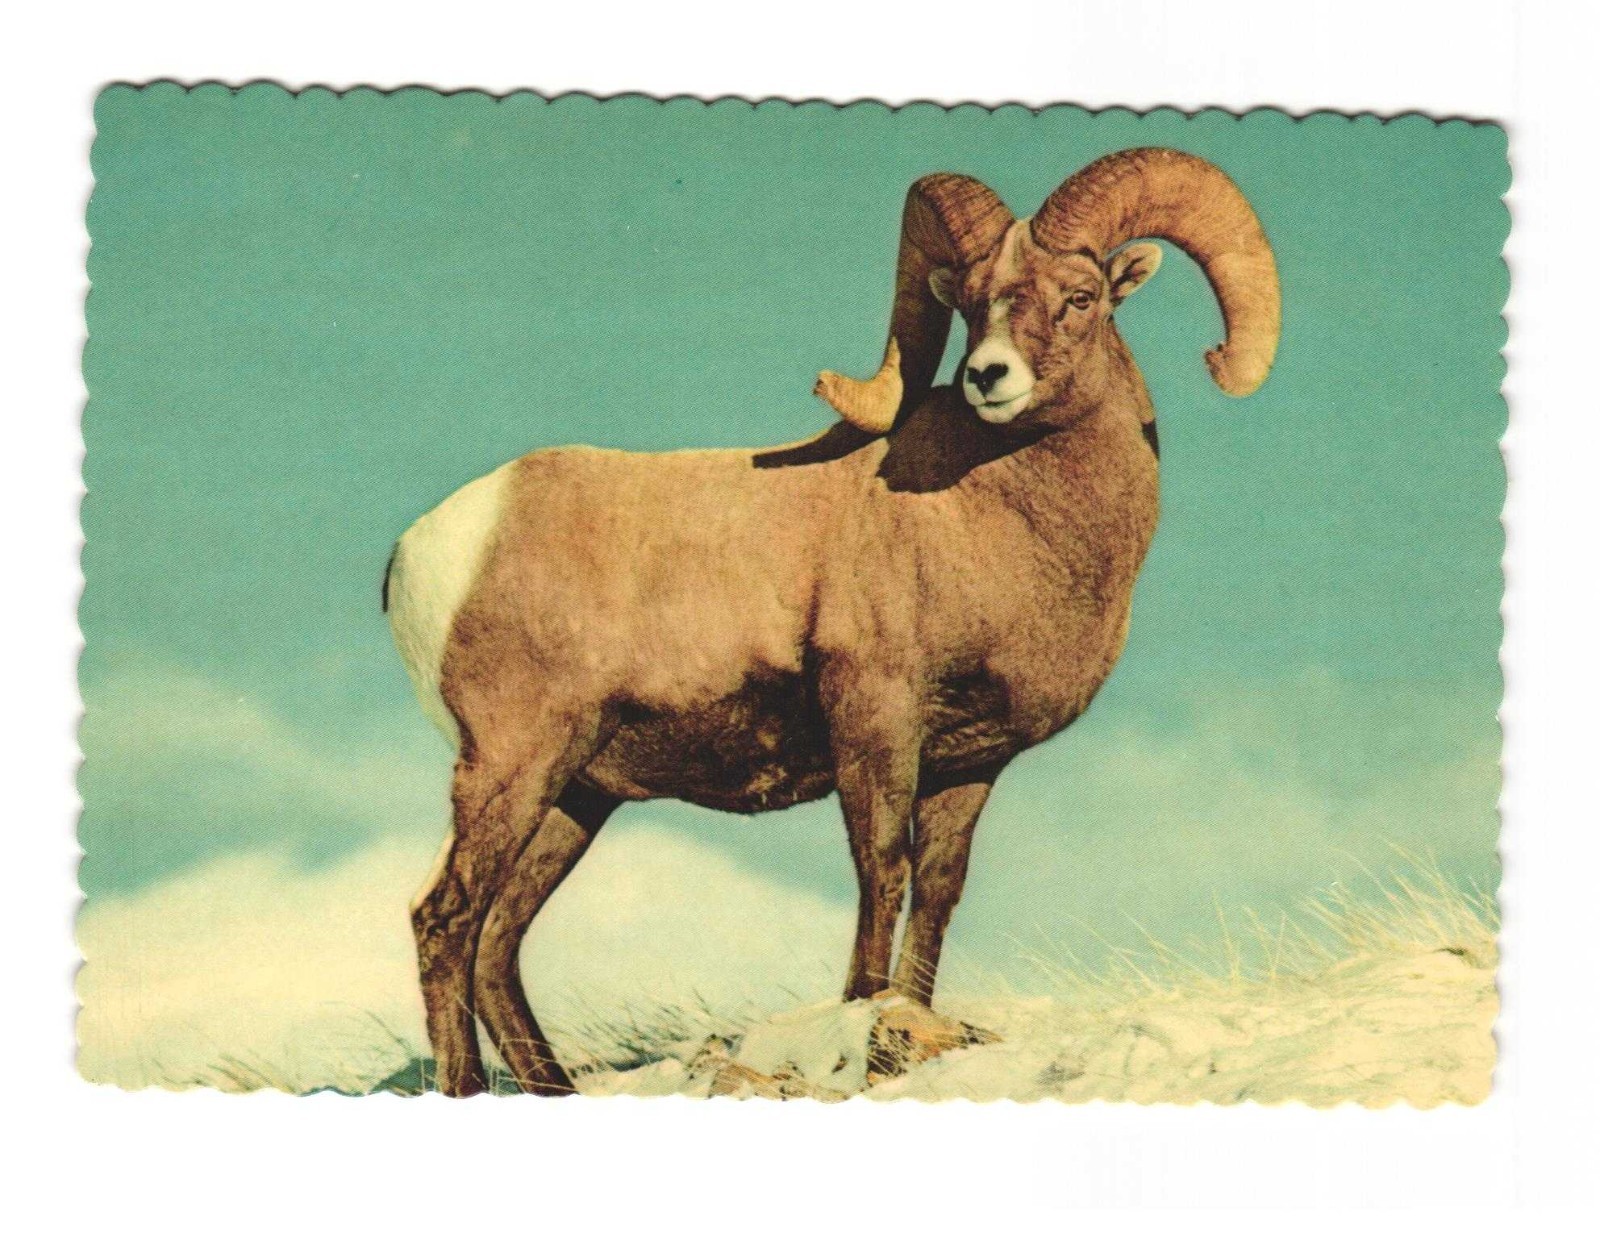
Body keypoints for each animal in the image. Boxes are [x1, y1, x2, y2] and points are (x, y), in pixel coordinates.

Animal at [385, 147, 1280, 1096]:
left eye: (1081, 296)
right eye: (972, 303)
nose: (988, 376)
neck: (991, 517)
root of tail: (424, 548)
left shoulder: (970, 762)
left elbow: (938, 886)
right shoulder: (875, 720)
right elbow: (880, 868)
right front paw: (865, 1020)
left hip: (576, 793)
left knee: (495, 940)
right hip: (512, 765)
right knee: (446, 919)